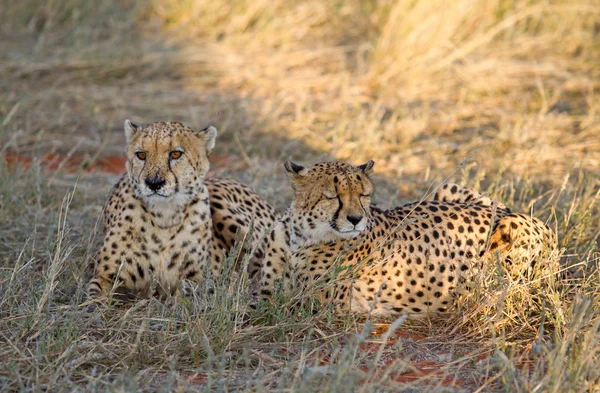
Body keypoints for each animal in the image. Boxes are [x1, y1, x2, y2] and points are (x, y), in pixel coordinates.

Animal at [87, 119, 278, 300]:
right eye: (141, 155)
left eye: (175, 154)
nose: (154, 183)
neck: (164, 216)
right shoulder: (104, 276)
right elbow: (93, 300)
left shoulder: (198, 279)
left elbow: (186, 296)